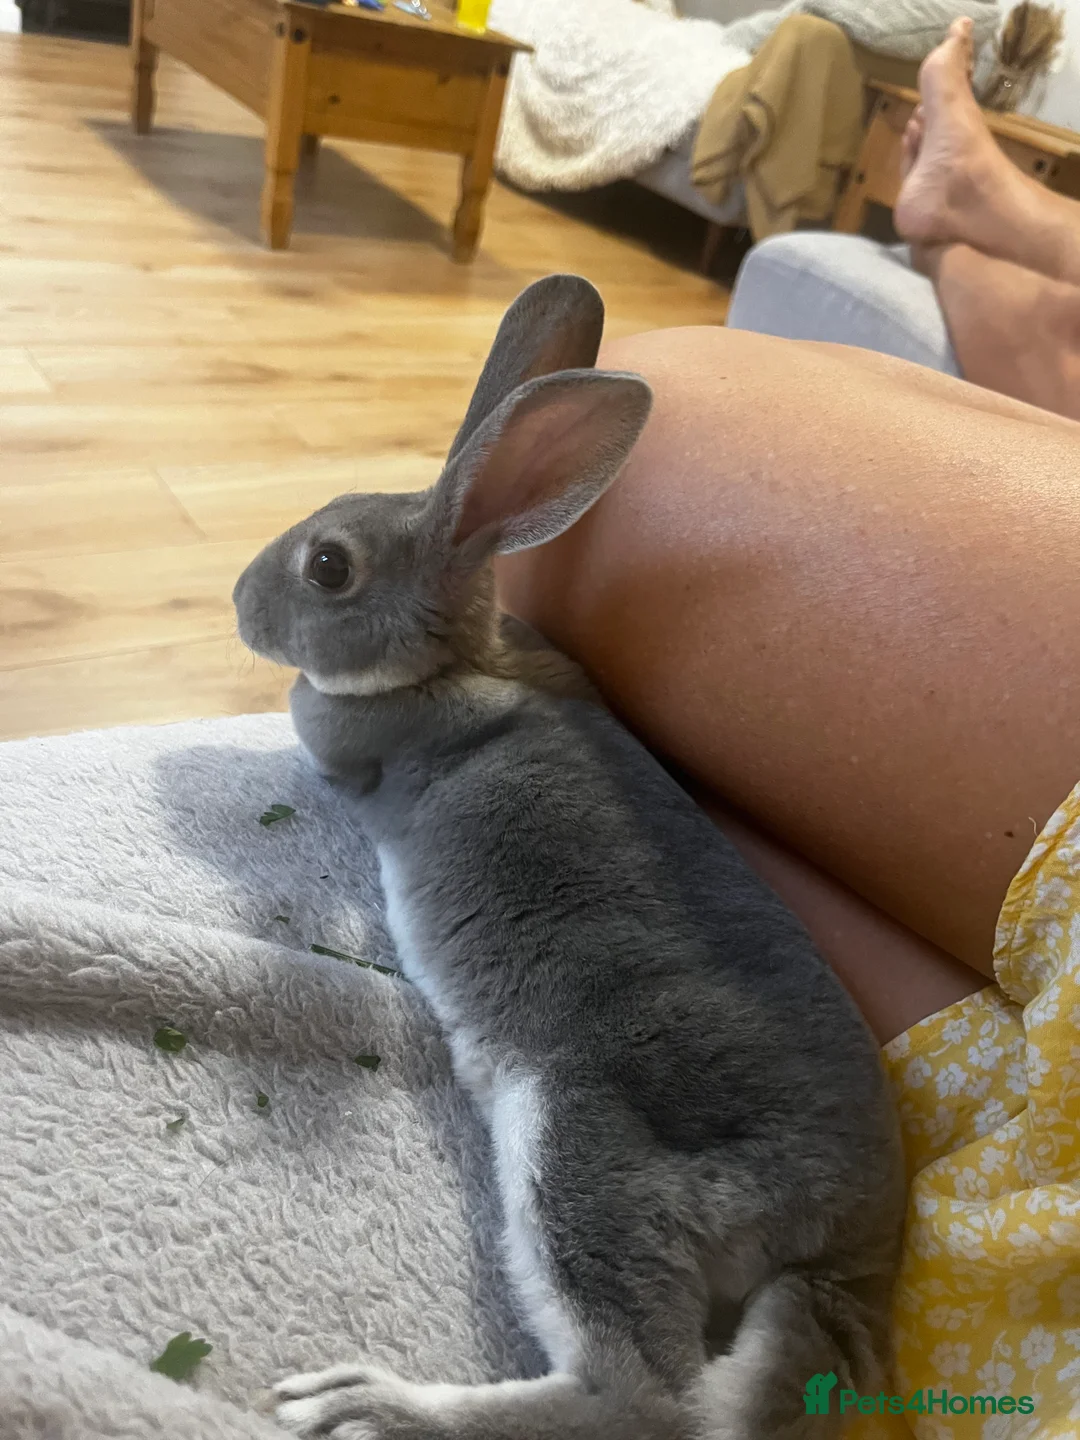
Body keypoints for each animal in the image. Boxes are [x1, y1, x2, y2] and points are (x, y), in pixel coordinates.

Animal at [233, 273, 905, 1440]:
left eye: (328, 568)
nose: (235, 600)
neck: (453, 662)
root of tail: (838, 1252)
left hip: (583, 1146)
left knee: (638, 1397)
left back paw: (369, 1401)